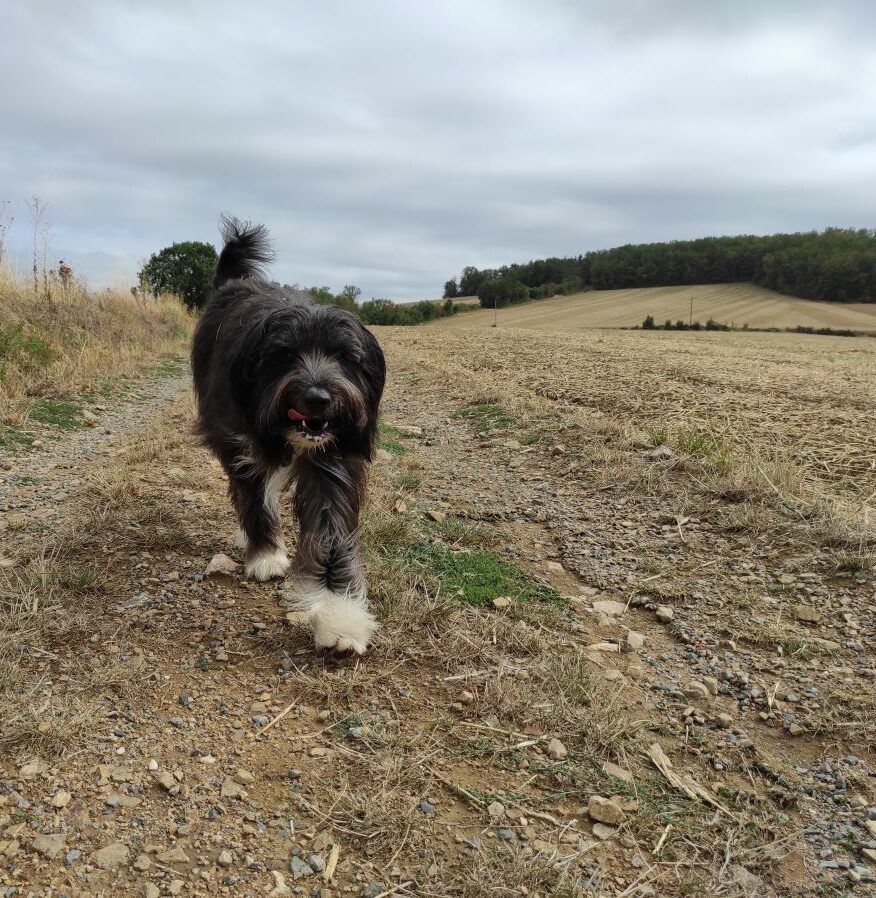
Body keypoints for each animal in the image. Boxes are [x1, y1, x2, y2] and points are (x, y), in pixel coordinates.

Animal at [192, 217, 386, 652]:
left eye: (344, 357)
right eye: (284, 355)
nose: (317, 398)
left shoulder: (333, 461)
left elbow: (331, 535)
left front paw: (340, 617)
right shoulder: (239, 442)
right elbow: (253, 496)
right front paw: (264, 555)